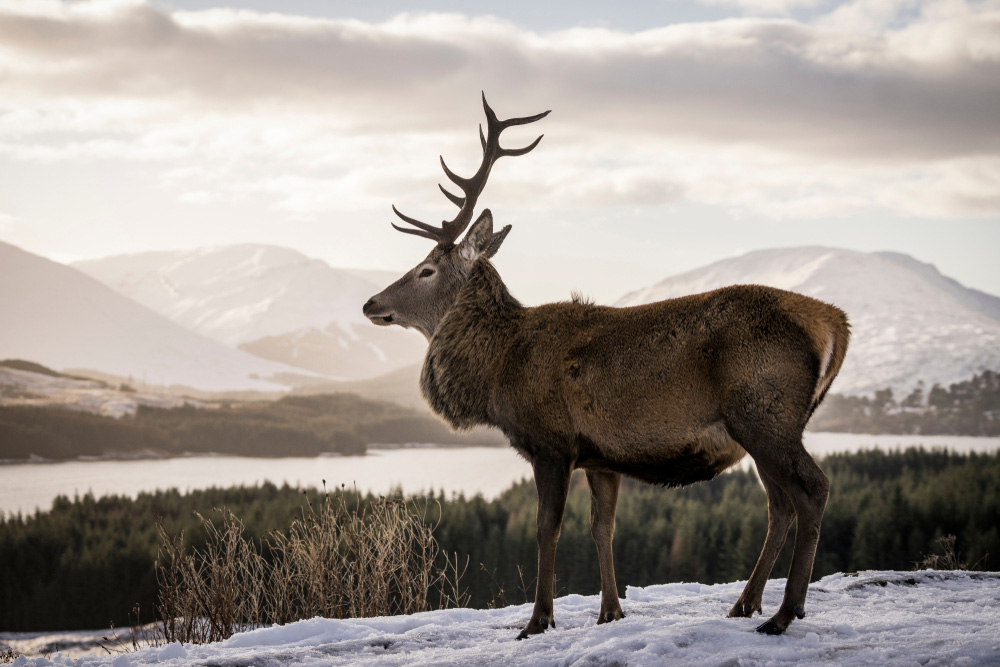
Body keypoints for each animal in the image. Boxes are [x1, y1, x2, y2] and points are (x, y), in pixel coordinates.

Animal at [363, 94, 850, 639]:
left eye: (426, 270)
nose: (370, 303)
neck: (498, 371)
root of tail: (835, 323)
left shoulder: (551, 442)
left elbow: (546, 530)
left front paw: (538, 620)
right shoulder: (600, 457)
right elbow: (603, 527)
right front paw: (610, 610)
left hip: (765, 413)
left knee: (812, 489)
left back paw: (785, 612)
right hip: (766, 426)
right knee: (779, 503)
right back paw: (746, 602)